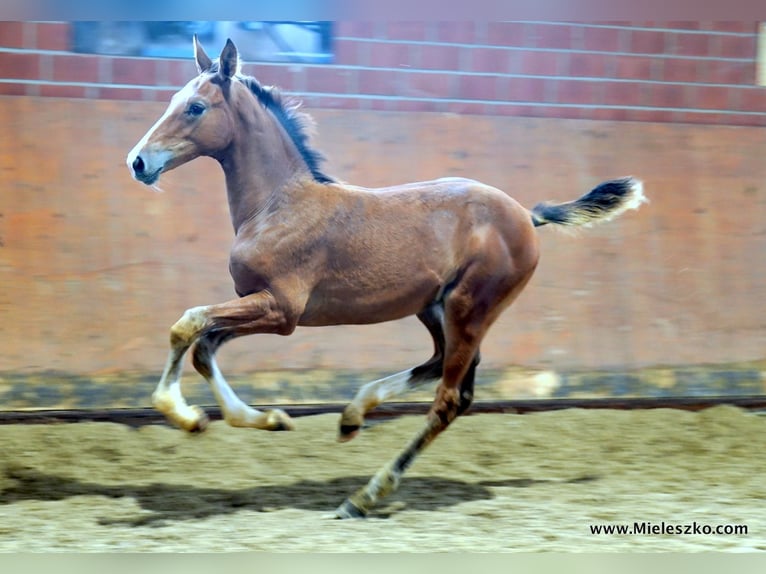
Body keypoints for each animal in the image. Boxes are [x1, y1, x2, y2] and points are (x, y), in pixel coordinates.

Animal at [126, 38, 648, 520]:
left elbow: (188, 325)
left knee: (450, 399)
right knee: (442, 367)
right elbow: (204, 347)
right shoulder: (256, 303)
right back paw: (353, 416)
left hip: (469, 307)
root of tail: (526, 214)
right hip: (436, 308)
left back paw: (362, 496)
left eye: (196, 106)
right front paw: (265, 419)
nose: (138, 162)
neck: (277, 204)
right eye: (174, 98)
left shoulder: (281, 309)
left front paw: (182, 414)